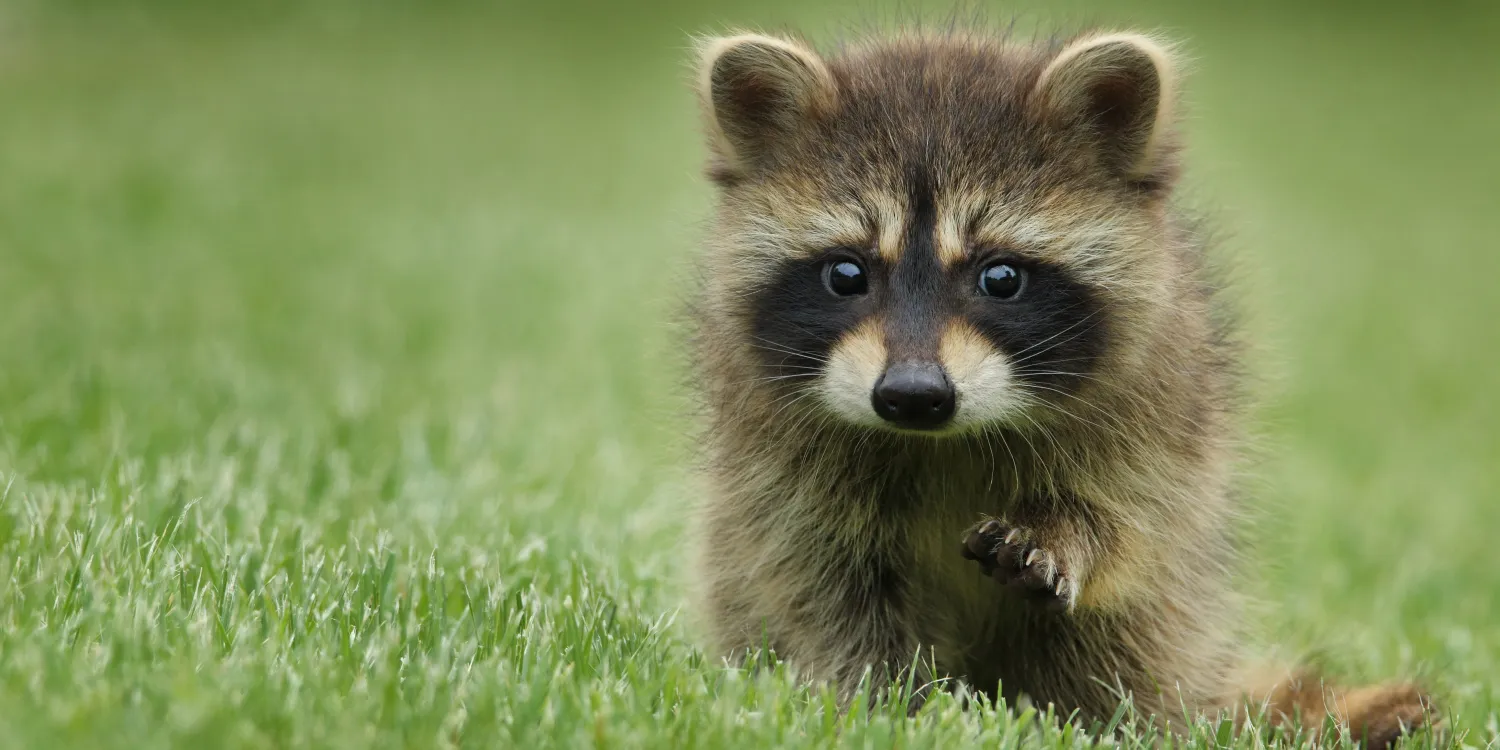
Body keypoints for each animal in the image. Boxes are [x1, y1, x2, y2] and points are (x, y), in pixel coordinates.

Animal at [687, 26, 1434, 747]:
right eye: (846, 274)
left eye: (1000, 277)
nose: (914, 395)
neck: (943, 440)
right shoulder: (777, 461)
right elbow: (820, 584)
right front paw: (885, 704)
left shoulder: (1161, 401)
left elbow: (1132, 520)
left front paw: (1069, 534)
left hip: (1178, 619)